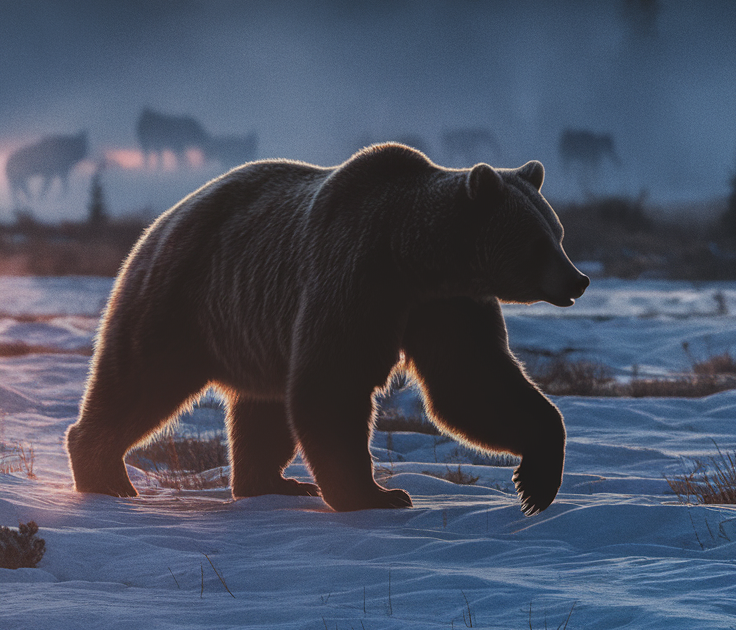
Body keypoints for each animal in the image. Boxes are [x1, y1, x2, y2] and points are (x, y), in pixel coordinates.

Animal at [66, 143, 589, 515]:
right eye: (539, 242)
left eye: (559, 233)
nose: (578, 280)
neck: (417, 258)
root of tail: (163, 218)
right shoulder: (359, 276)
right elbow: (333, 382)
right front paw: (376, 494)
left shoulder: (445, 305)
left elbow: (473, 382)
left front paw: (536, 483)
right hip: (184, 298)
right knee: (140, 380)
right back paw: (106, 476)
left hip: (251, 326)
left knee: (263, 408)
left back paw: (273, 483)